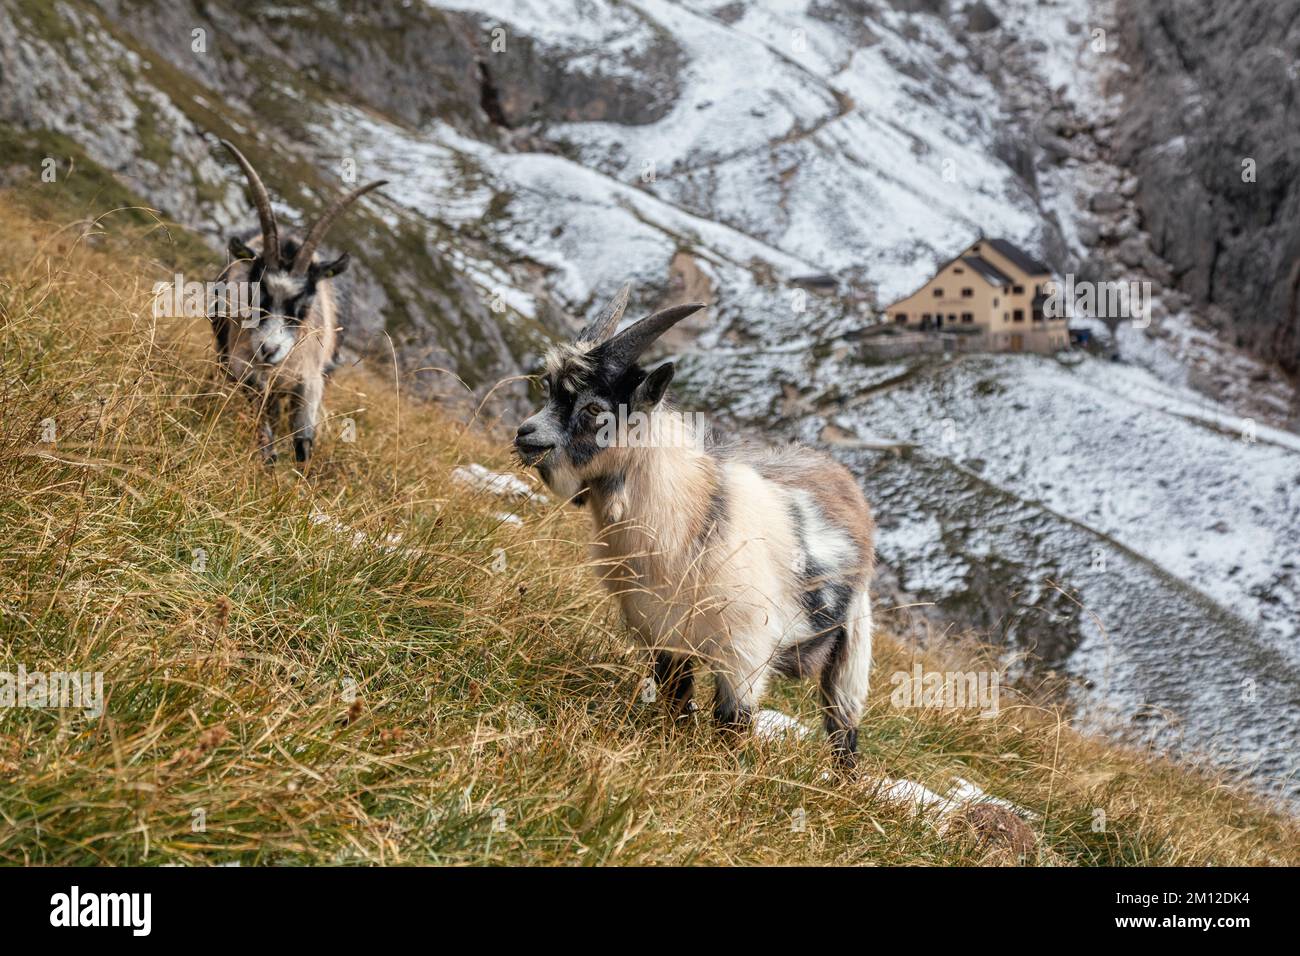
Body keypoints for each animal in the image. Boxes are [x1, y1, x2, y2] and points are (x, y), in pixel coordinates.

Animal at [210, 139, 386, 466]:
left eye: (303, 304)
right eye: (256, 293)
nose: (269, 349)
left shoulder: (311, 380)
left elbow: (304, 441)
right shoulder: (244, 368)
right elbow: (263, 428)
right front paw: (268, 460)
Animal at [514, 284, 876, 768]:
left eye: (594, 408)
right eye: (549, 387)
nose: (525, 435)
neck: (693, 515)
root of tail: (840, 476)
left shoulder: (745, 654)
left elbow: (730, 727)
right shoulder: (662, 636)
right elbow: (677, 703)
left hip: (853, 646)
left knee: (844, 734)